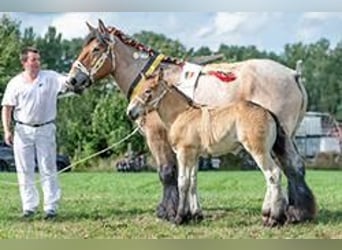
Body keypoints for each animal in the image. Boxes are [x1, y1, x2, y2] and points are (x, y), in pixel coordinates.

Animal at [66, 18, 316, 224]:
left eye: (96, 49)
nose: (72, 80)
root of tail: (294, 74)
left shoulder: (157, 136)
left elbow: (168, 172)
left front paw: (168, 211)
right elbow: (191, 177)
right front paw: (193, 212)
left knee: (287, 169)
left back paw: (291, 213)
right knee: (293, 167)